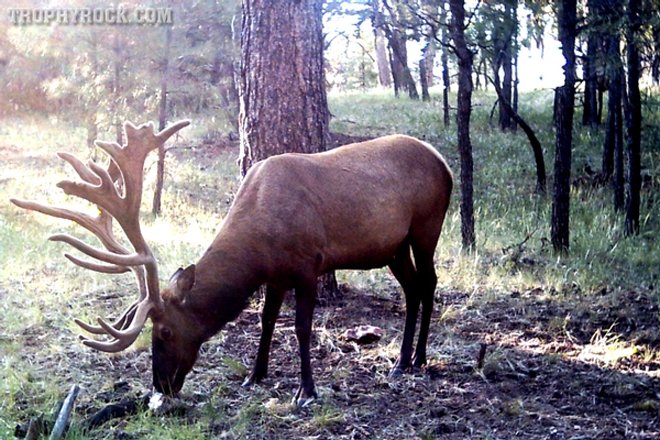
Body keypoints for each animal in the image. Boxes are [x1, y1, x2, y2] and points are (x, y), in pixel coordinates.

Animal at [11, 120, 453, 406]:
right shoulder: (275, 274)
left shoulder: (308, 263)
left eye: (165, 332)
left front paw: (306, 391)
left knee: (430, 282)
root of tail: (444, 161)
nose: (161, 386)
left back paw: (417, 358)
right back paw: (402, 360)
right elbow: (267, 321)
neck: (259, 243)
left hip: (426, 226)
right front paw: (254, 376)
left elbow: (301, 328)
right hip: (394, 247)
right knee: (412, 288)